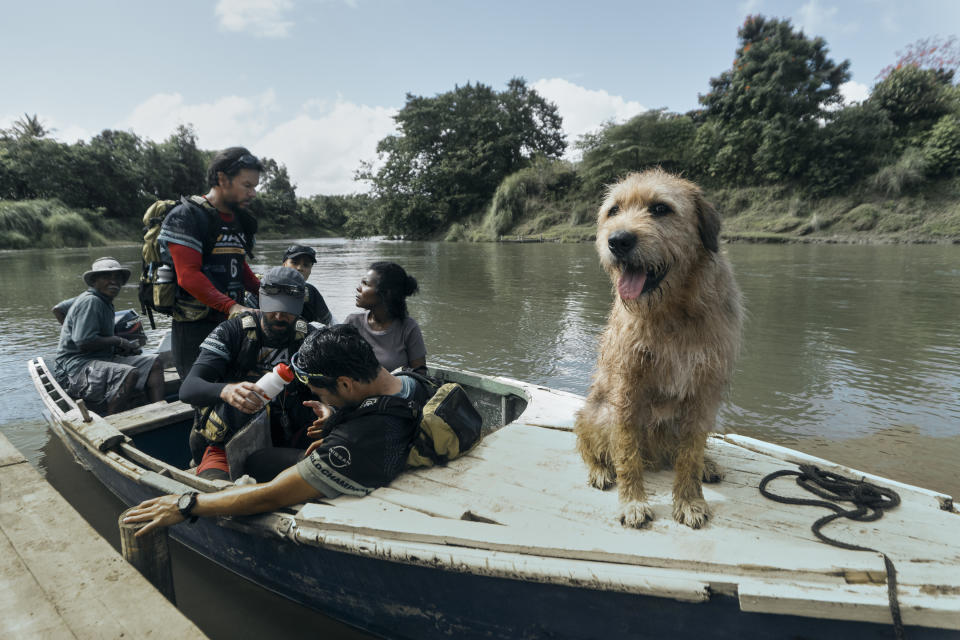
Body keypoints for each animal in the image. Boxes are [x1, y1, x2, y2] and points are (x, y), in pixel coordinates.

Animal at [576, 170, 744, 528]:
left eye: (660, 208)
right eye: (613, 211)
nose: (618, 241)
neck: (672, 313)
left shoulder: (705, 392)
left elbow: (690, 453)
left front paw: (690, 500)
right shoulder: (627, 389)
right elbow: (626, 452)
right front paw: (633, 502)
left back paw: (707, 465)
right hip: (596, 412)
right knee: (589, 445)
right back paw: (600, 471)